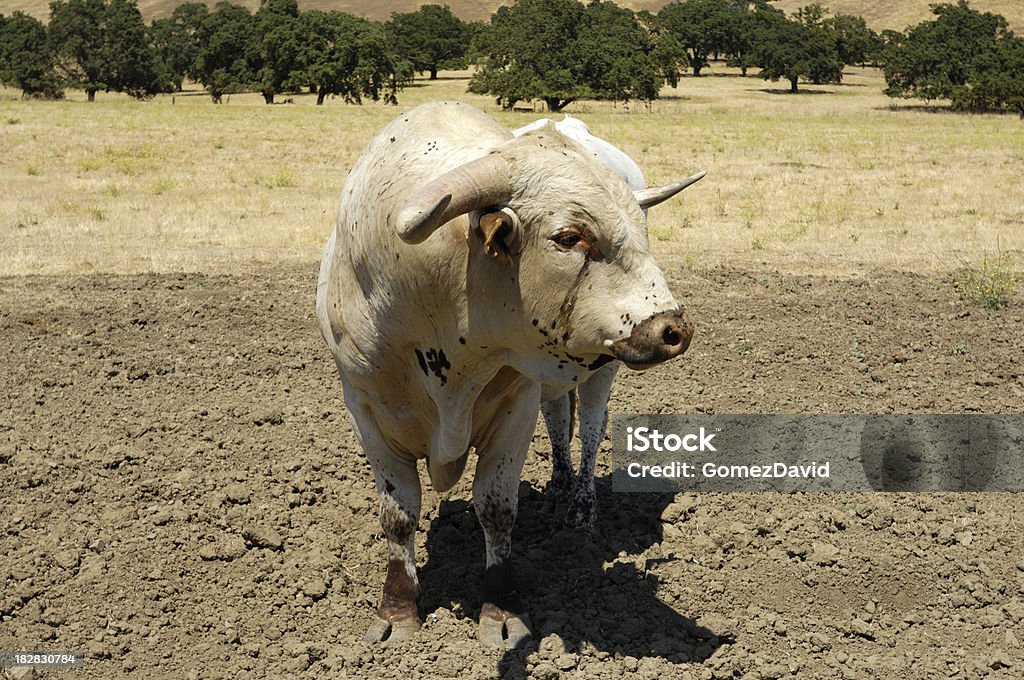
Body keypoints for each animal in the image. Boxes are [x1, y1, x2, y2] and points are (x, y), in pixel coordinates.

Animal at [319, 102, 700, 647]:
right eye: (569, 237)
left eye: (641, 229)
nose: (673, 329)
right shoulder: (366, 410)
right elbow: (398, 514)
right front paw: (397, 610)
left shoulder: (514, 408)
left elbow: (496, 507)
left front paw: (501, 610)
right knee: (560, 419)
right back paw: (559, 488)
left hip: (603, 371)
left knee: (589, 431)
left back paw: (580, 508)